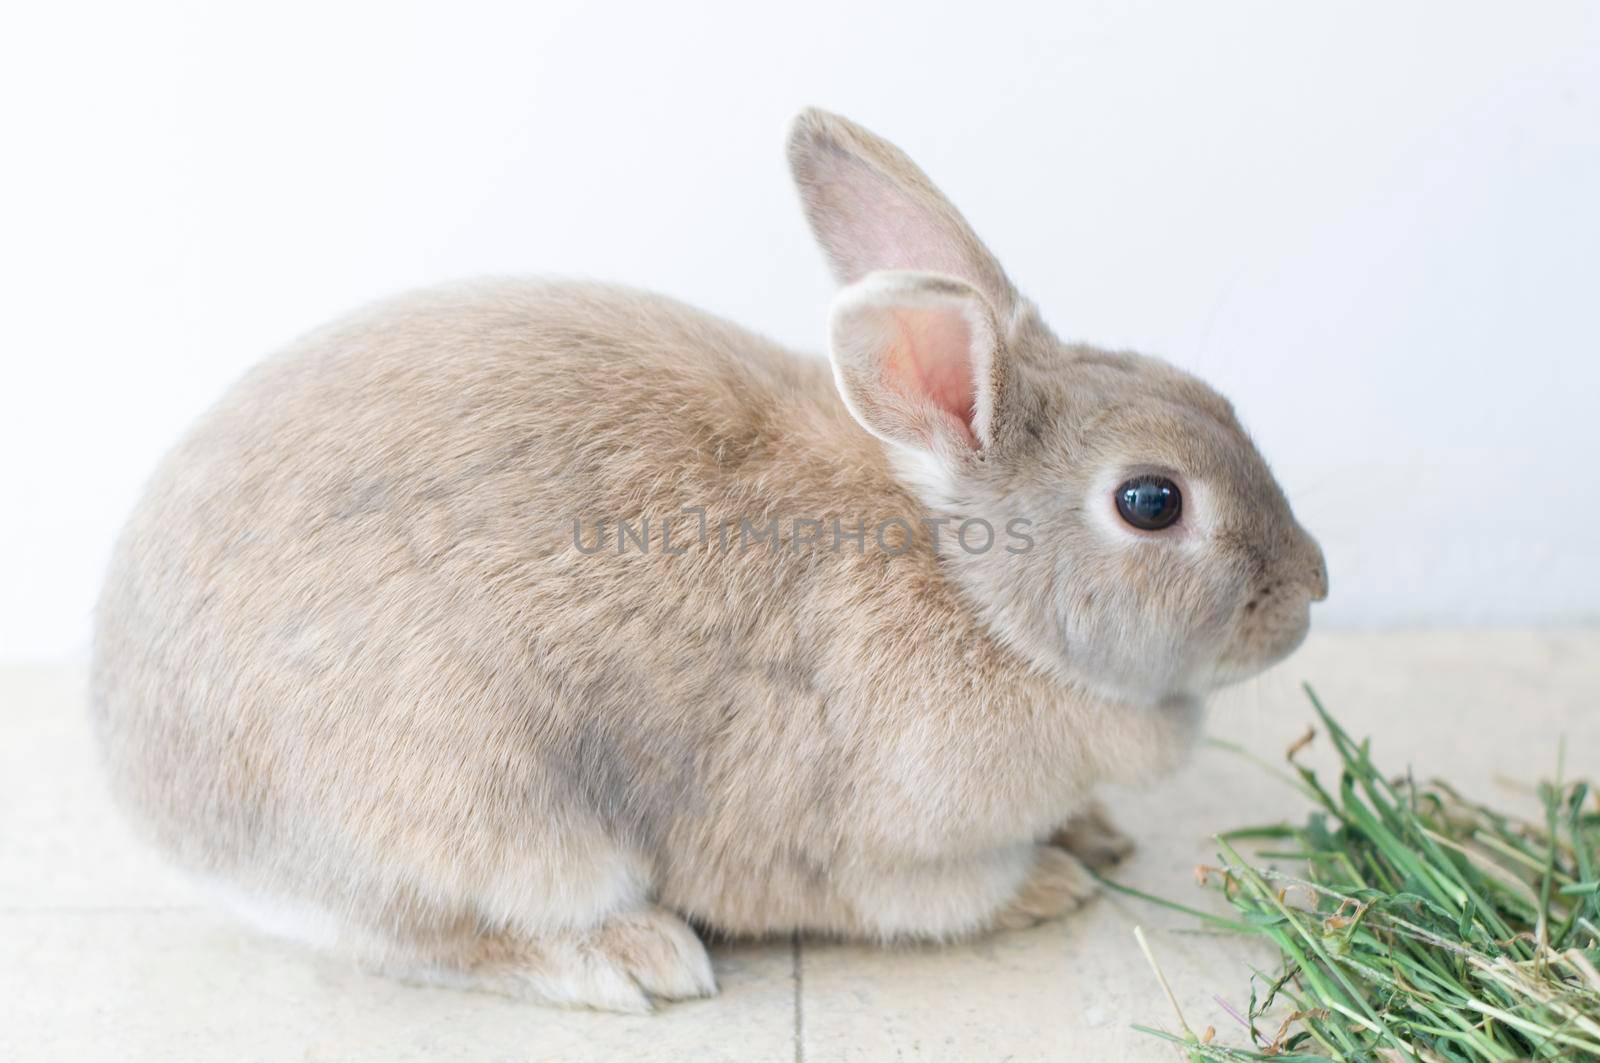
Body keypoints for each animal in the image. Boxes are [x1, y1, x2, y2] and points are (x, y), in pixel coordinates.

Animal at [93, 108, 1331, 1011]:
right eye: (1149, 502)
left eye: (1208, 397)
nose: (1311, 591)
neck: (978, 597)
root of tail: (148, 790)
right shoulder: (862, 845)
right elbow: (937, 895)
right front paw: (1052, 879)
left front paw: (1095, 833)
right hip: (470, 801)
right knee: (429, 932)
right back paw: (632, 959)